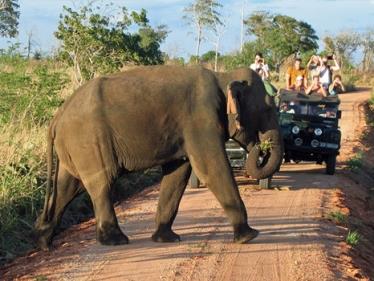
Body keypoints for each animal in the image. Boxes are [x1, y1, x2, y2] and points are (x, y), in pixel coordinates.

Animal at [35, 64, 282, 248]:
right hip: (89, 140)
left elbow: (178, 174)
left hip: (73, 146)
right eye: (268, 110)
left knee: (67, 187)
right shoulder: (200, 119)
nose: (261, 145)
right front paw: (249, 236)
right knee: (102, 182)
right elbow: (211, 168)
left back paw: (44, 240)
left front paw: (166, 239)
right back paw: (115, 241)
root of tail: (56, 117)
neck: (224, 76)